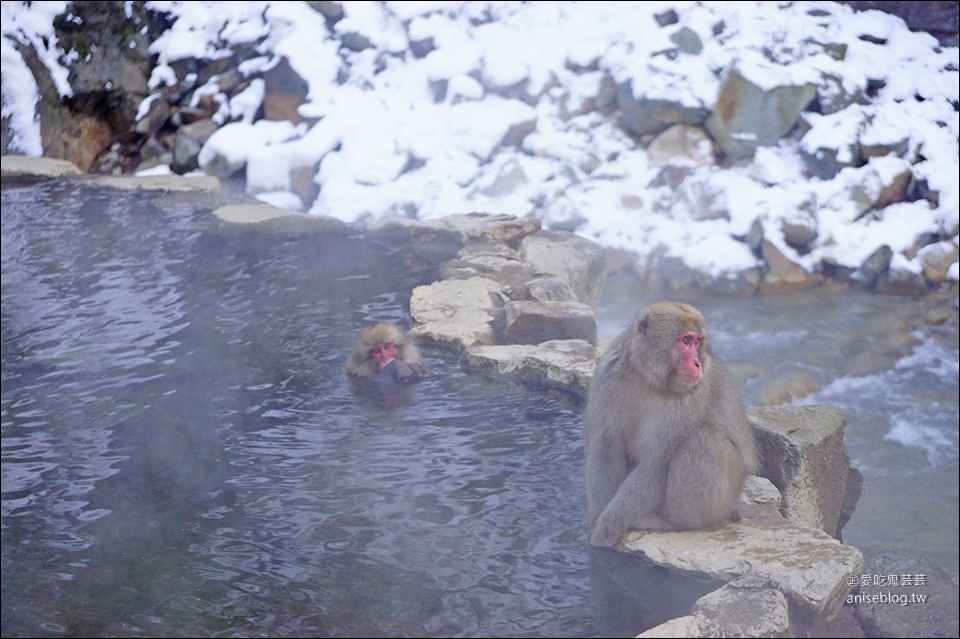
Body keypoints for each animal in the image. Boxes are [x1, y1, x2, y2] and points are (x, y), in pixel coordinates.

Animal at [584, 302, 756, 548]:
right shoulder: (607, 376)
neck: (647, 378)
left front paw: (606, 528)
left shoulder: (690, 397)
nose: (697, 363)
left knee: (704, 438)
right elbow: (606, 447)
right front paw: (597, 520)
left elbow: (655, 464)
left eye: (697, 342)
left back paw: (675, 522)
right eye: (686, 341)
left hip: (730, 492)